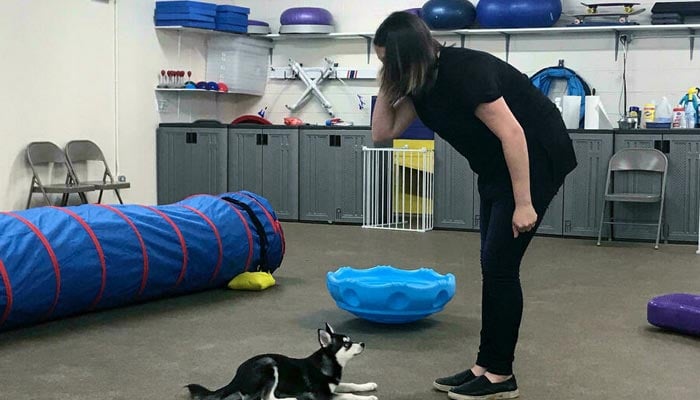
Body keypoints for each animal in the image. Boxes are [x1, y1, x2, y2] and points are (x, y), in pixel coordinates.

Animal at [183, 322, 374, 400]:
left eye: (351, 340)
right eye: (347, 344)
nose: (363, 344)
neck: (327, 363)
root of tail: (235, 377)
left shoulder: (334, 385)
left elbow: (351, 385)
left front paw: (368, 386)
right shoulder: (323, 395)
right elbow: (349, 395)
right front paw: (369, 397)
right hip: (270, 365)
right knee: (267, 398)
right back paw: (290, 399)